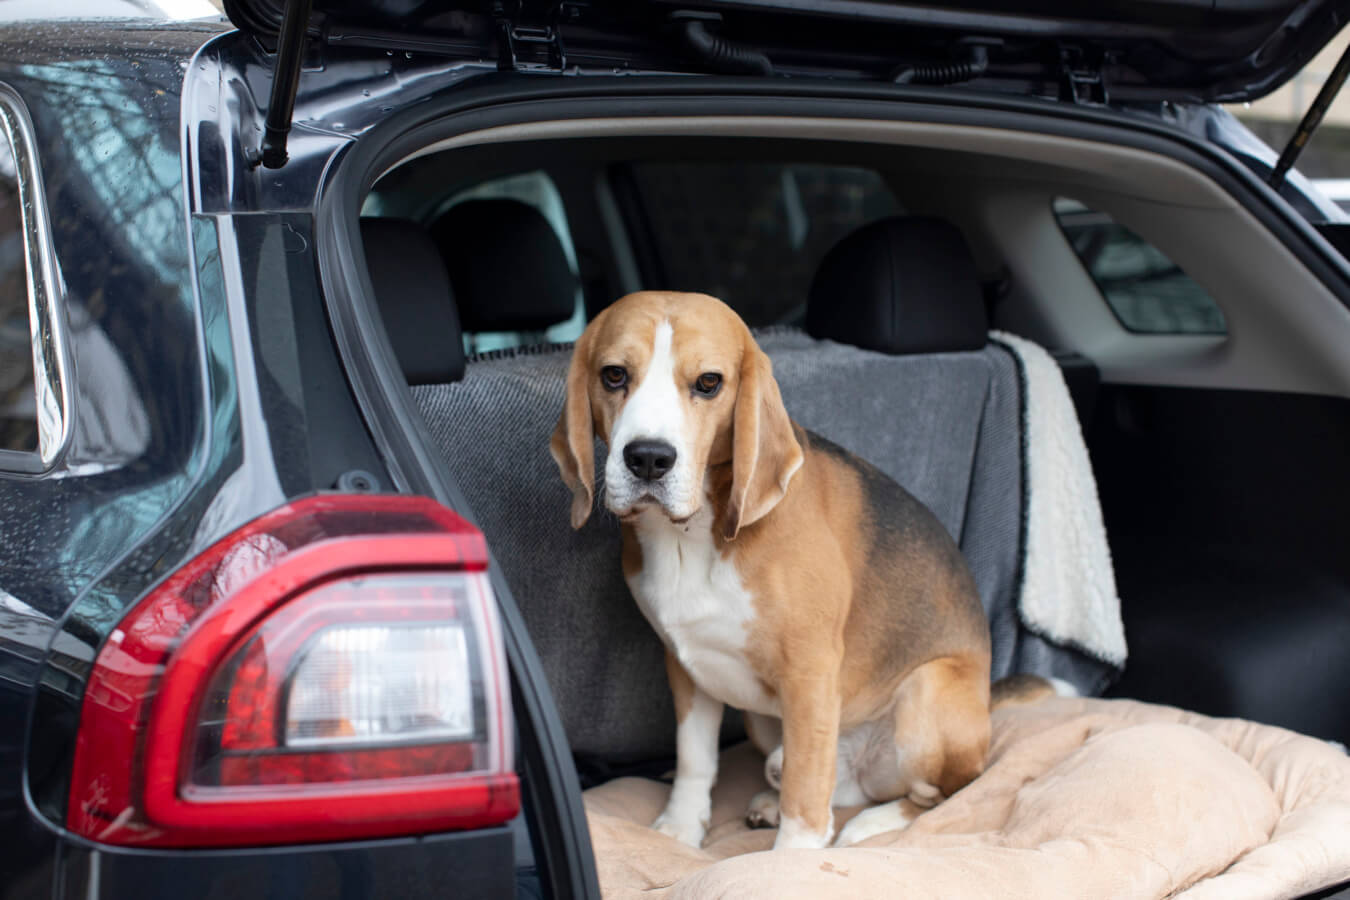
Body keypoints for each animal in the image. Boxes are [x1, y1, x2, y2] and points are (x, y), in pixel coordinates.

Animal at [553, 290, 999, 852]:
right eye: (613, 375)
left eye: (709, 382)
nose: (649, 458)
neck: (692, 535)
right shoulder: (685, 664)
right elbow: (695, 758)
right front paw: (681, 826)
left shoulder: (809, 671)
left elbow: (806, 791)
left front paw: (790, 858)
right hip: (764, 724)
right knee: (838, 783)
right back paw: (775, 802)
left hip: (926, 700)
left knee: (937, 794)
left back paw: (867, 827)